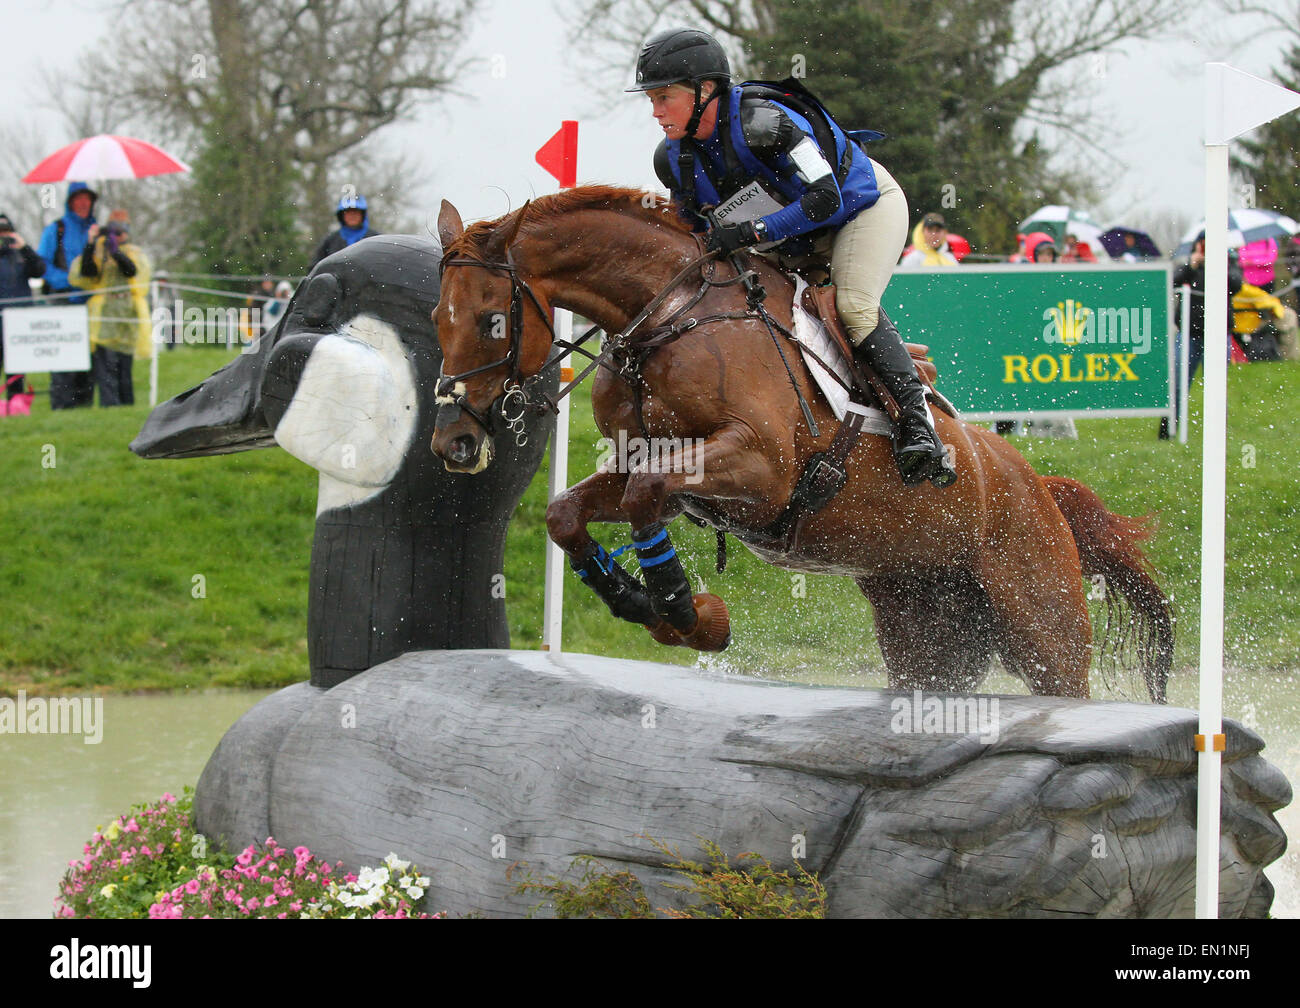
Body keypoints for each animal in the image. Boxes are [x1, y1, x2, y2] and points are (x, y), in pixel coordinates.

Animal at [431, 187, 1175, 702]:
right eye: (437, 317)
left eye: (492, 320)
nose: (453, 443)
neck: (667, 319)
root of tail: (1039, 487)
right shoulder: (662, 469)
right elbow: (568, 513)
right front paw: (646, 605)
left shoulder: (762, 471)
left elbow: (646, 497)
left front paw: (690, 615)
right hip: (926, 631)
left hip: (1042, 629)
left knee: (1066, 684)